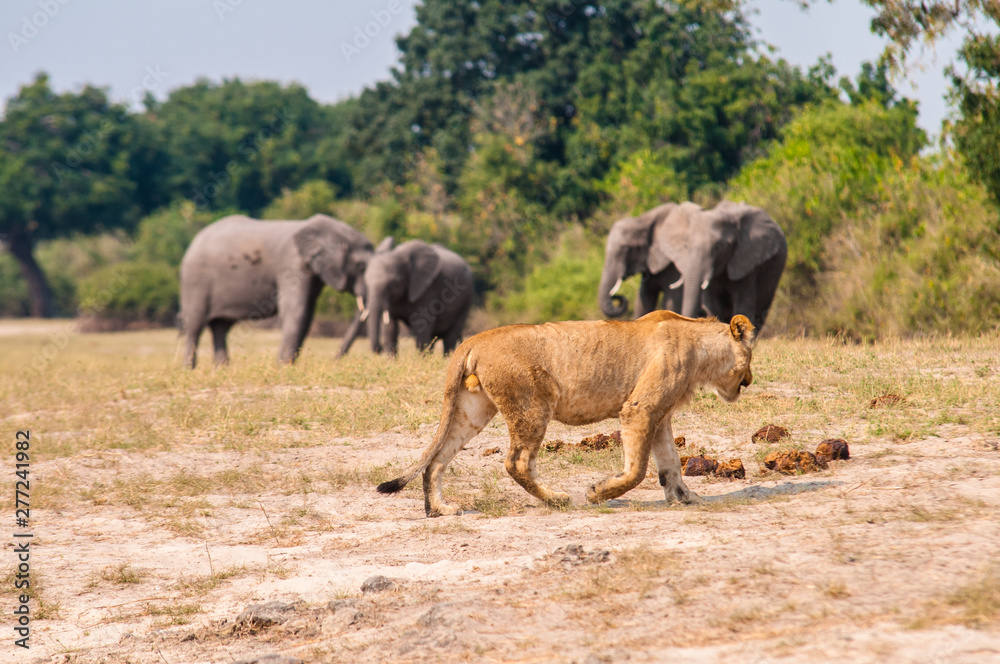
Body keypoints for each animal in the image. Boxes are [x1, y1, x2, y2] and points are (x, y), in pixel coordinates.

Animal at [179, 213, 374, 368]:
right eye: (360, 266)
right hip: (196, 281)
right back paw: (189, 369)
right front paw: (283, 366)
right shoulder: (291, 263)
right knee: (195, 325)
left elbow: (308, 311)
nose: (335, 361)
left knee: (221, 326)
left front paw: (287, 365)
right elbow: (297, 309)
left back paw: (222, 369)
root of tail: (193, 242)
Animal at [339, 239, 474, 356]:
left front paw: (422, 361)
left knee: (450, 336)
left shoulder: (428, 288)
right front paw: (391, 362)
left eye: (394, 283)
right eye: (366, 283)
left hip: (466, 300)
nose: (379, 349)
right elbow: (390, 327)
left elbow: (422, 325)